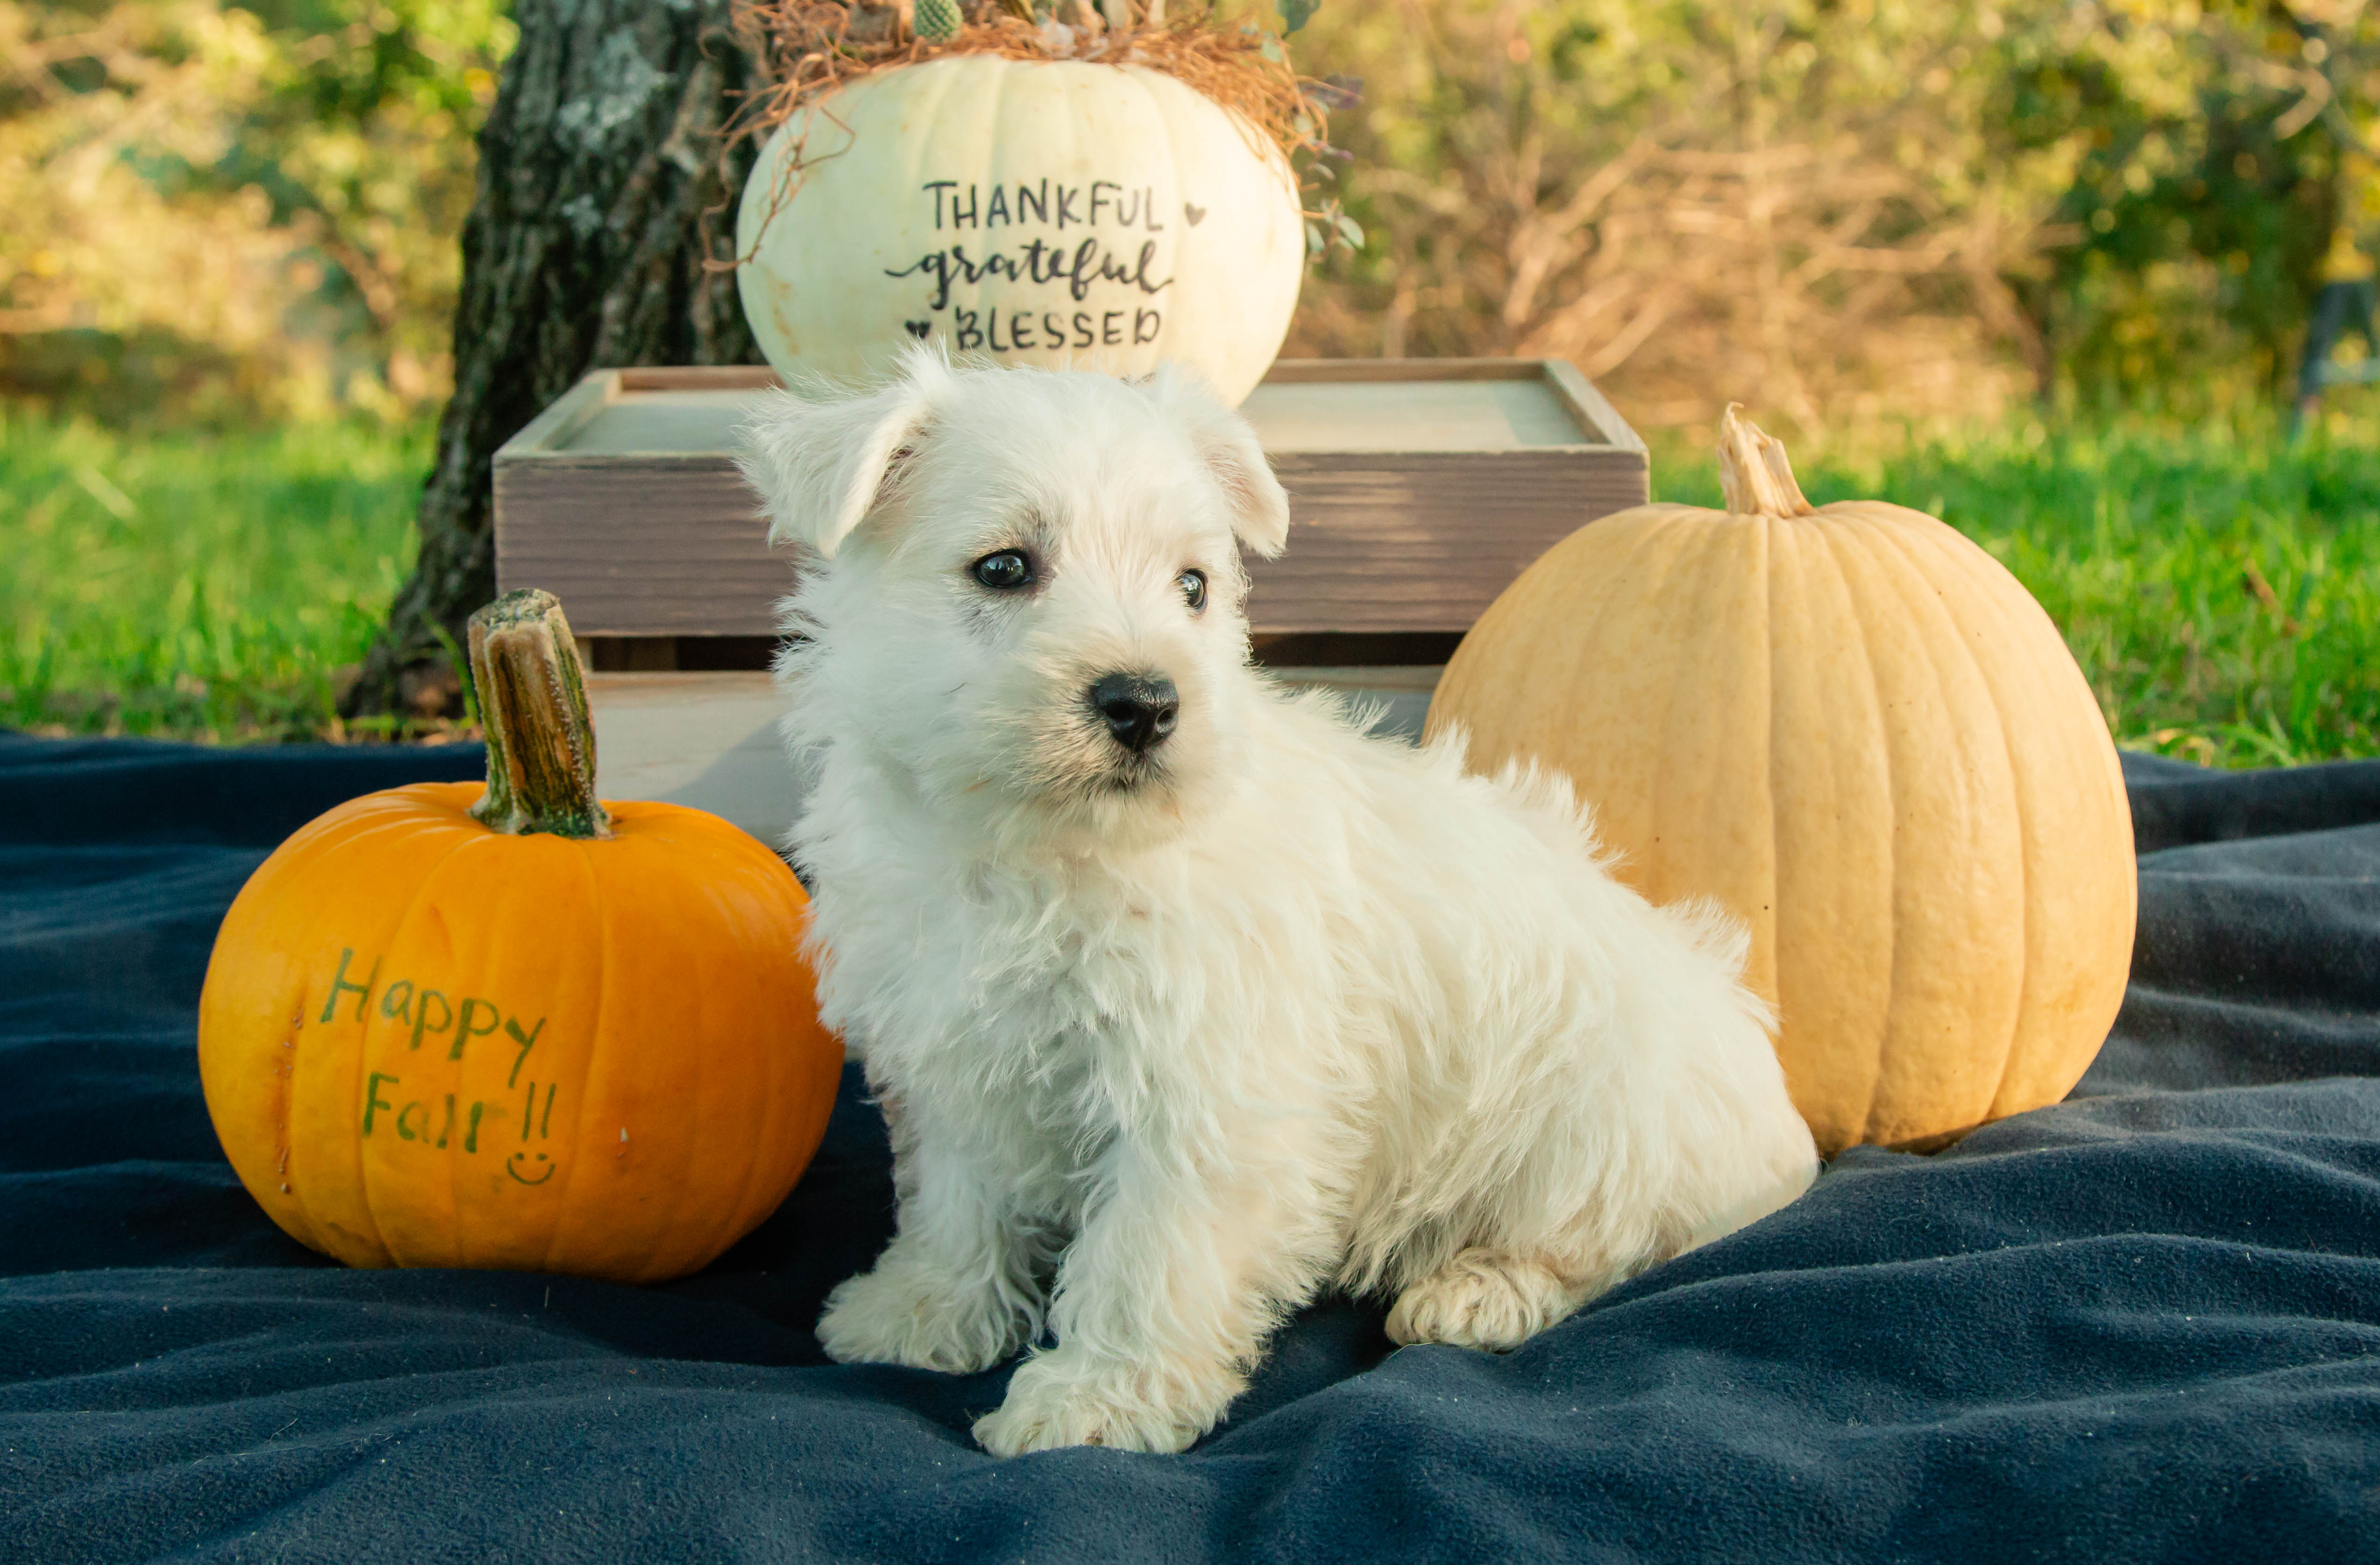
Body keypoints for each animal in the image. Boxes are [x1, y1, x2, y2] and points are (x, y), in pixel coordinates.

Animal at [742, 347, 1818, 1455]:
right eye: (1004, 568)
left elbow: (1149, 1255)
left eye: (1193, 587)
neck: (1040, 851)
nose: (1147, 702)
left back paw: (1473, 1292)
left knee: (1611, 1248)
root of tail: (1785, 1134)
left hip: (1603, 1127)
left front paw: (1095, 1402)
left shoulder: (1203, 1091)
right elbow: (958, 1199)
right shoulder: (953, 1051)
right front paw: (924, 1310)